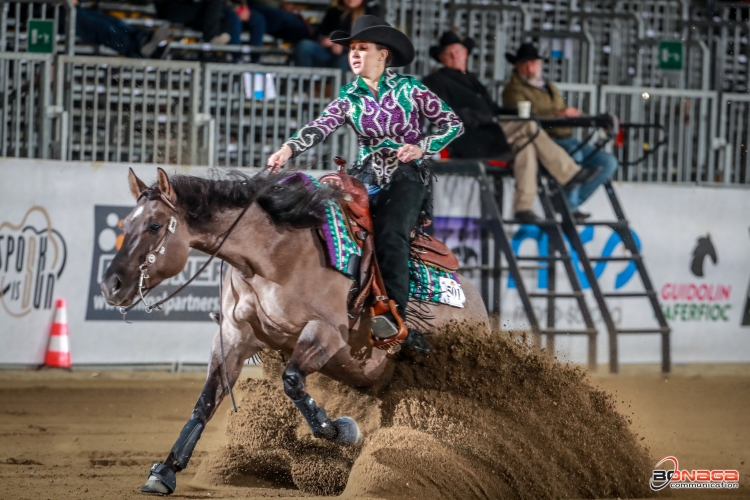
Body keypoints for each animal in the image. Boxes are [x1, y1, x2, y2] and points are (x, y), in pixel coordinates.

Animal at [101, 166, 494, 494]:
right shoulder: (233, 338)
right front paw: (164, 472)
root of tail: (476, 301)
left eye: (154, 226)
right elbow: (205, 402)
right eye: (123, 226)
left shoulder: (325, 335)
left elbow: (292, 382)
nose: (110, 285)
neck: (274, 257)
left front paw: (343, 430)